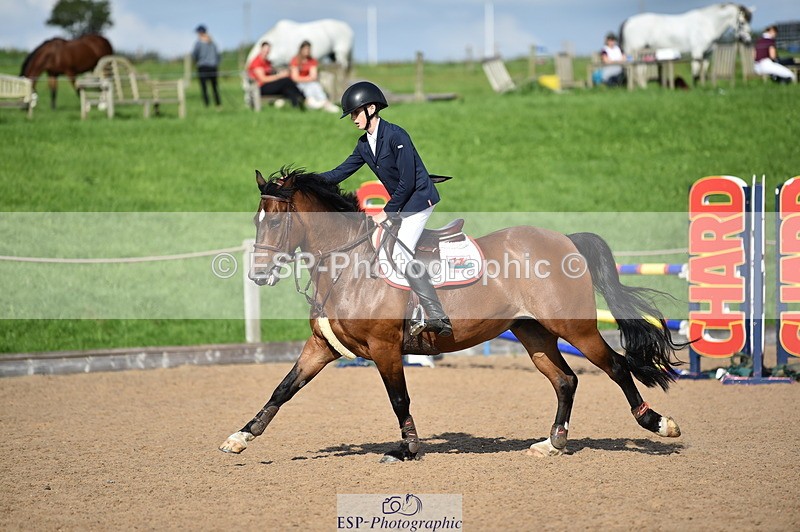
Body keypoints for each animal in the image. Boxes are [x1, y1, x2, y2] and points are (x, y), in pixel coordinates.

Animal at [219, 168, 684, 461]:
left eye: (274, 222)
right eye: (255, 221)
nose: (258, 274)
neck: (346, 264)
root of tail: (564, 239)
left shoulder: (385, 348)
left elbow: (399, 398)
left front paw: (407, 448)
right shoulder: (322, 347)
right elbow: (283, 389)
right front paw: (240, 437)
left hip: (574, 326)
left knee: (617, 367)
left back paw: (658, 423)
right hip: (533, 333)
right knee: (565, 380)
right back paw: (552, 444)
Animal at [620, 3, 754, 80]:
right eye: (742, 22)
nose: (748, 41)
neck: (707, 24)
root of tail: (628, 21)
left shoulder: (707, 54)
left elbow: (703, 70)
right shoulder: (697, 52)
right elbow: (695, 69)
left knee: (639, 68)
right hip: (633, 52)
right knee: (631, 69)